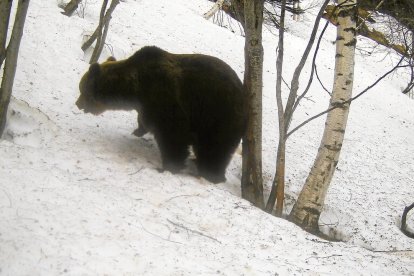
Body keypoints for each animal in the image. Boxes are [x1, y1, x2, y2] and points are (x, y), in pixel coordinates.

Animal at [77, 45, 246, 183]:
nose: (77, 104)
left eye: (82, 89)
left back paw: (211, 174)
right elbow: (144, 120)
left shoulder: (165, 99)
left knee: (214, 148)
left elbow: (173, 135)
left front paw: (169, 166)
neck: (135, 90)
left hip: (218, 115)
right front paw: (138, 130)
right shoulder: (146, 106)